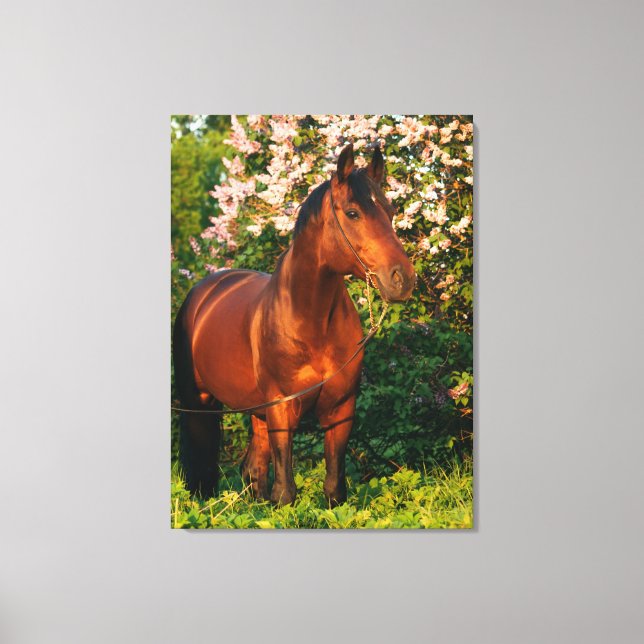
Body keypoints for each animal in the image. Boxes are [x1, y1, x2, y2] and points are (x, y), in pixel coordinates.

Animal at [172, 143, 416, 506]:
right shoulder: (281, 408)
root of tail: (205, 290)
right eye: (353, 213)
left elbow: (334, 488)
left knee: (253, 470)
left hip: (256, 411)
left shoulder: (341, 409)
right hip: (199, 403)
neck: (310, 320)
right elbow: (285, 490)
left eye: (391, 211)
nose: (403, 279)